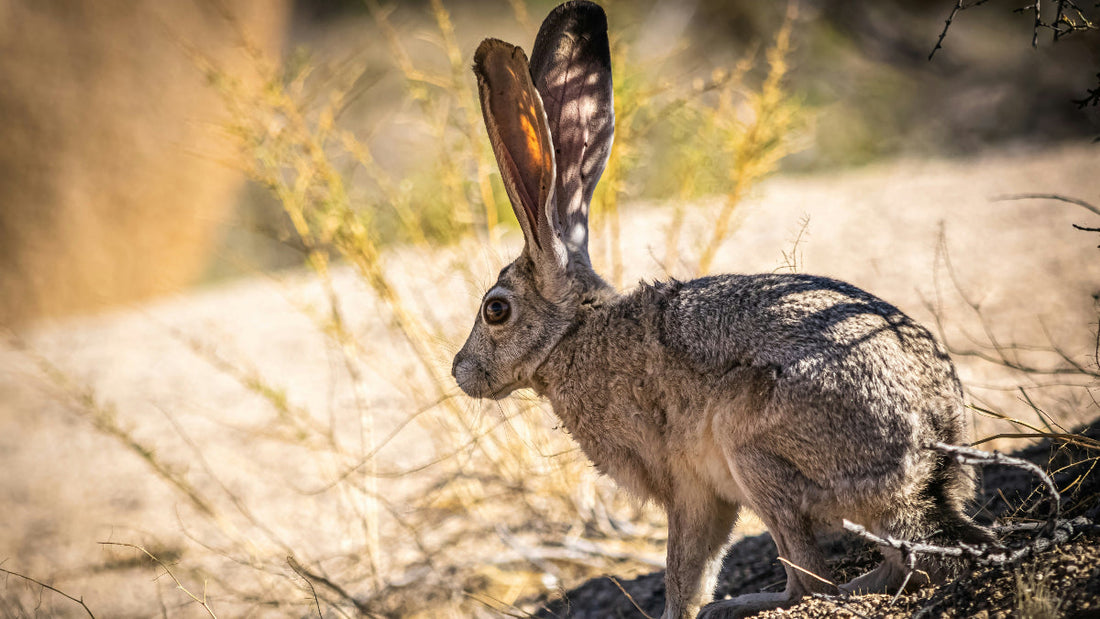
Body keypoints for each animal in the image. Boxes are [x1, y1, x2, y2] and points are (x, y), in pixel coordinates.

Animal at [451, 2, 993, 617]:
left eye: (495, 310)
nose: (460, 371)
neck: (575, 333)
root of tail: (928, 455)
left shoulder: (688, 486)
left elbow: (684, 571)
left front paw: (679, 613)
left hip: (751, 447)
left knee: (817, 581)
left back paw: (747, 602)